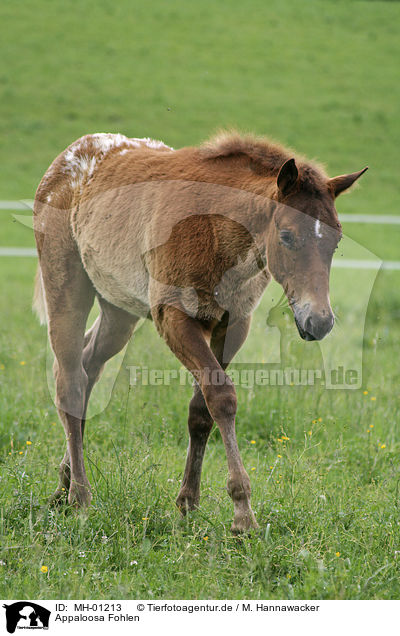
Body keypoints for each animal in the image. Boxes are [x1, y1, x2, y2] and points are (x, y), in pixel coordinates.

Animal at [33, 132, 366, 536]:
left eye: (335, 242)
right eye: (287, 236)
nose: (319, 322)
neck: (216, 228)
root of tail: (67, 158)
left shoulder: (233, 324)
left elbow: (201, 410)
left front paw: (188, 503)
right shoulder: (174, 317)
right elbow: (221, 396)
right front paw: (243, 514)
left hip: (118, 309)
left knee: (87, 367)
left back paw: (63, 482)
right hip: (66, 286)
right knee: (70, 379)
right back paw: (80, 496)